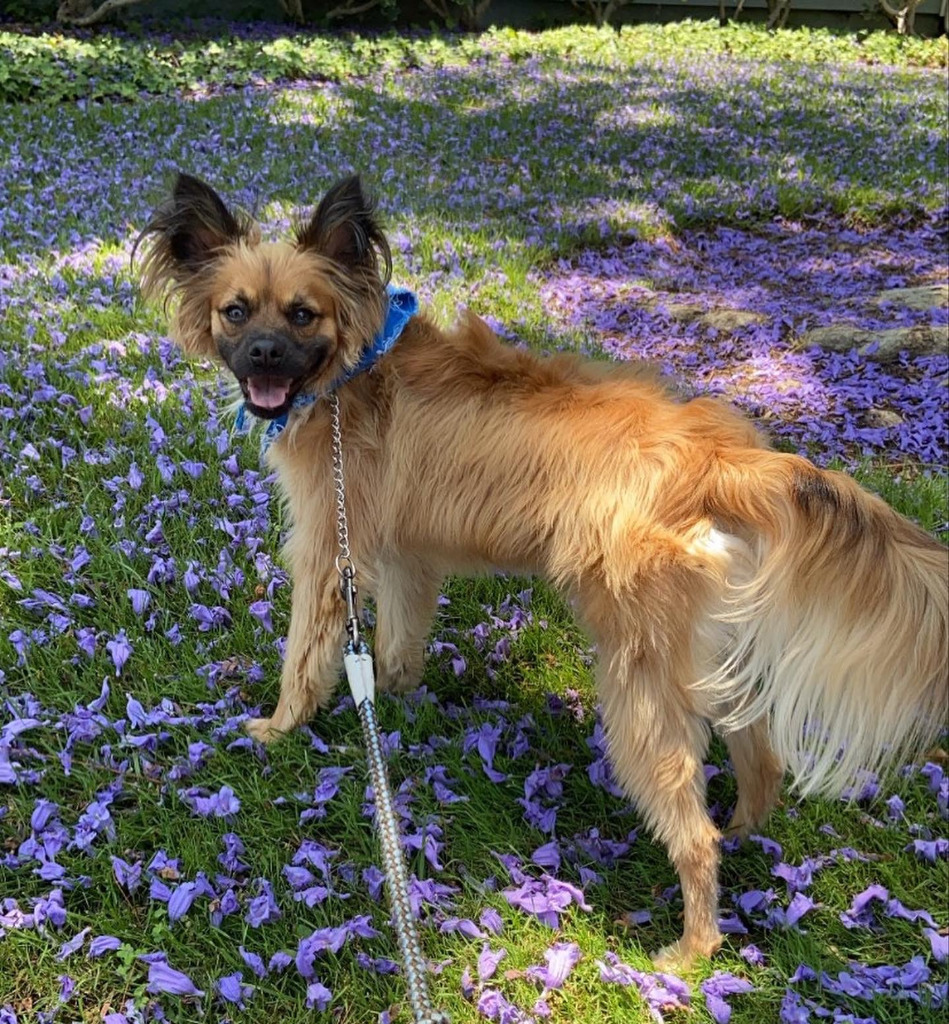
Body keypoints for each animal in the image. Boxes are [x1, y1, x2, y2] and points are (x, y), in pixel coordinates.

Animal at [135, 174, 949, 966]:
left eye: (303, 315)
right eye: (236, 311)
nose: (264, 358)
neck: (353, 366)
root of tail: (720, 457)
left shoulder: (328, 550)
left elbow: (304, 655)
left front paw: (277, 728)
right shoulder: (406, 559)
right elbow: (398, 642)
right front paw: (395, 699)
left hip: (638, 686)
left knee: (692, 833)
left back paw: (690, 950)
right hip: (703, 654)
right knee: (759, 755)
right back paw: (747, 831)